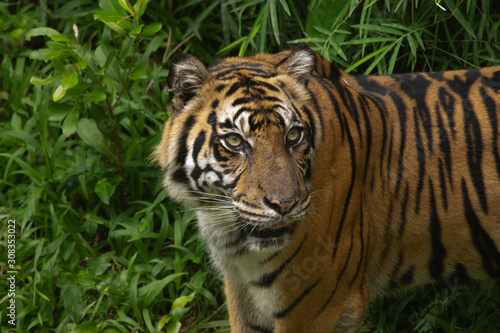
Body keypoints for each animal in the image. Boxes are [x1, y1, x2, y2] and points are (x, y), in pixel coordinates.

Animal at [153, 42, 500, 330]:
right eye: (235, 141)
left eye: (293, 135)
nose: (285, 205)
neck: (229, 233)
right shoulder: (242, 295)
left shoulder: (316, 306)